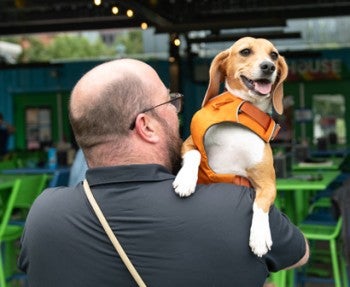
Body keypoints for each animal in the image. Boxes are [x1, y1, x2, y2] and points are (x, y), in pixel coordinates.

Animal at [174, 37, 288, 258]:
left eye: (274, 55)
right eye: (245, 51)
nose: (268, 66)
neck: (242, 118)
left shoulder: (268, 184)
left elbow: (260, 205)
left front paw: (260, 236)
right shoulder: (188, 142)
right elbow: (195, 154)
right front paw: (185, 180)